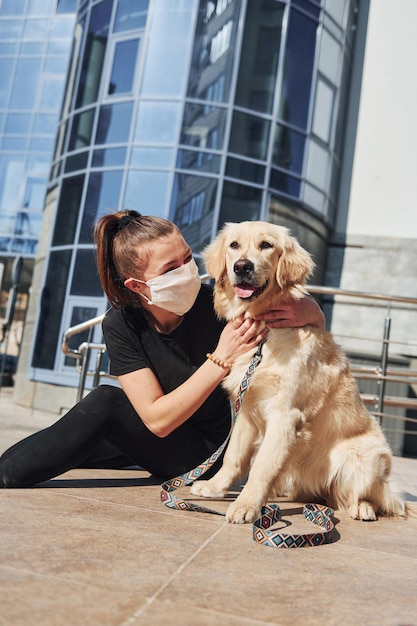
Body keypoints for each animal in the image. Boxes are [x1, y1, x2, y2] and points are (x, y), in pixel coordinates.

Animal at [191, 219, 404, 520]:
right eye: (234, 245)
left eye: (266, 245)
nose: (242, 266)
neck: (264, 330)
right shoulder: (246, 406)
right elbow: (233, 455)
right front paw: (214, 487)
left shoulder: (285, 413)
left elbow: (262, 466)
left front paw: (246, 505)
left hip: (362, 455)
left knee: (375, 497)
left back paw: (363, 507)